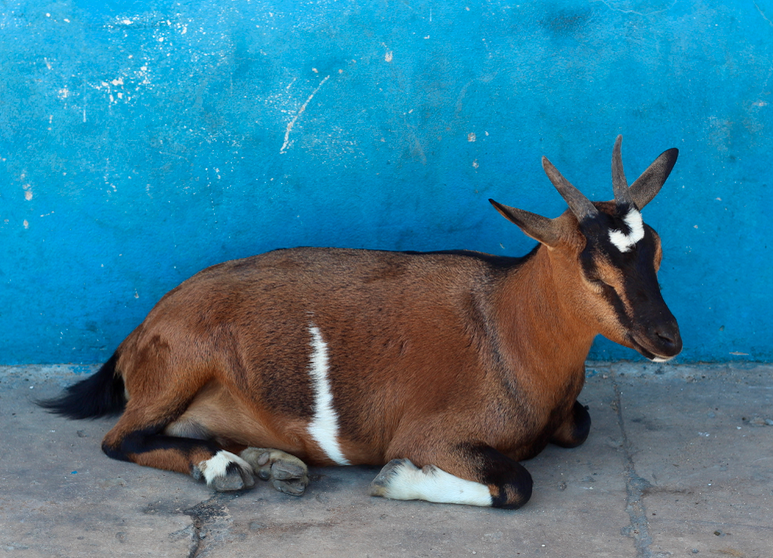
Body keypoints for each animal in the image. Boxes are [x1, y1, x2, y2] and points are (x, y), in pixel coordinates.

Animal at [43, 137, 680, 512]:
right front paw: (398, 480)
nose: (667, 339)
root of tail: (140, 331)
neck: (505, 325)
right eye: (592, 268)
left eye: (655, 249)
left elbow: (581, 425)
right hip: (181, 365)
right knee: (121, 440)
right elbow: (516, 484)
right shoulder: (433, 435)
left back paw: (269, 462)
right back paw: (225, 468)